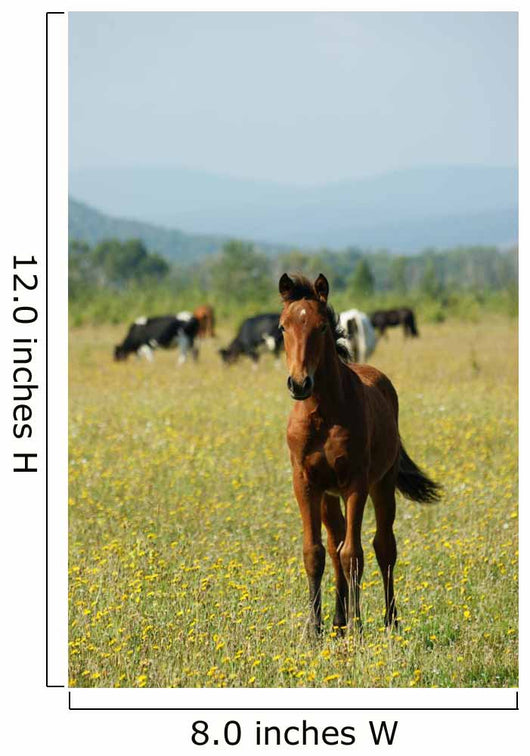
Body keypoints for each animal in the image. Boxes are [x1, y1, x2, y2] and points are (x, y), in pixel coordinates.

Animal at [279, 273, 440, 637]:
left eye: (322, 326)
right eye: (282, 327)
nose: (299, 383)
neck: (323, 415)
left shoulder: (356, 483)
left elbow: (354, 554)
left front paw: (357, 627)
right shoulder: (305, 483)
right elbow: (315, 553)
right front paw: (314, 629)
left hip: (382, 484)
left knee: (383, 546)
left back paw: (389, 621)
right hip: (328, 496)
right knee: (335, 545)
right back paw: (338, 622)